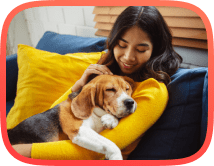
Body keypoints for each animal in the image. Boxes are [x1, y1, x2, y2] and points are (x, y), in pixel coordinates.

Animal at [7, 75, 137, 160]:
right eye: (110, 89)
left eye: (127, 89)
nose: (130, 102)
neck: (95, 112)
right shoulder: (80, 131)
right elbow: (112, 145)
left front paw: (110, 119)